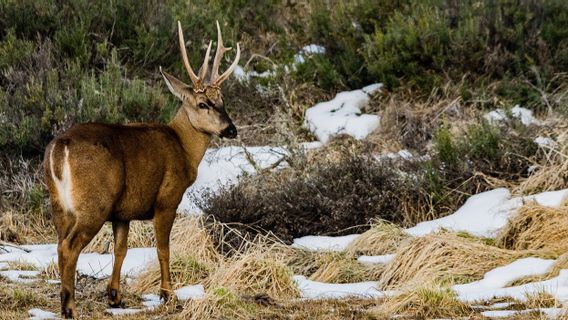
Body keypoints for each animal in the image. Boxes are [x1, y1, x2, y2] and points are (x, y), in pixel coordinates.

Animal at [43, 21, 240, 318]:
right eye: (203, 103)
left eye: (223, 100)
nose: (231, 129)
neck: (183, 147)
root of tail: (60, 147)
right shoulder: (167, 199)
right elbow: (163, 249)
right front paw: (169, 295)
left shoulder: (123, 212)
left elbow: (121, 249)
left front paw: (115, 296)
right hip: (94, 203)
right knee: (69, 247)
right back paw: (70, 308)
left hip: (60, 204)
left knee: (59, 244)